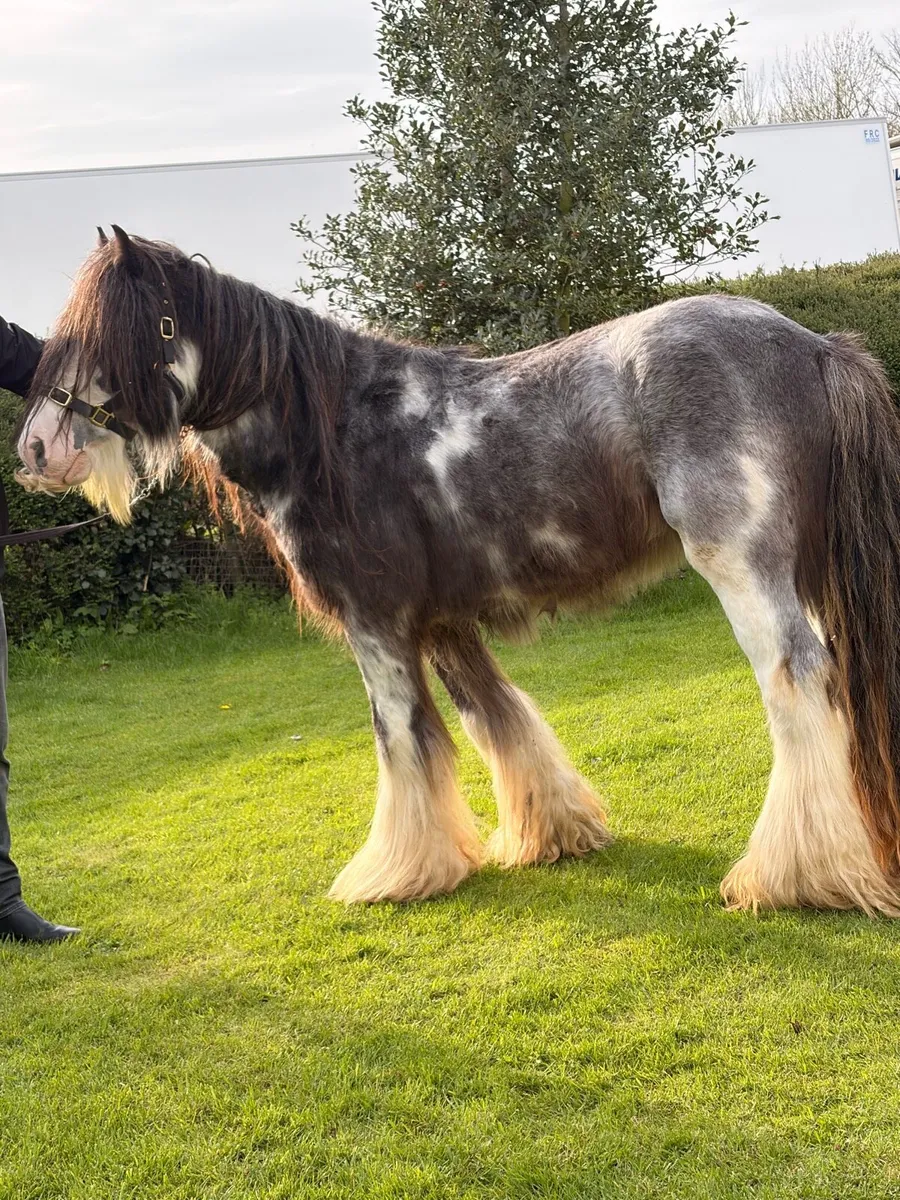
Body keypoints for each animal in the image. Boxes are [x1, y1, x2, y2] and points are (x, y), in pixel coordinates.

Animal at [17, 224, 900, 916]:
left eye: (121, 333)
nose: (35, 449)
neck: (333, 431)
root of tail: (813, 346)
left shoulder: (375, 626)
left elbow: (402, 739)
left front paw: (397, 872)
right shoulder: (441, 621)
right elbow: (495, 719)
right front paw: (554, 835)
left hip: (745, 570)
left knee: (797, 680)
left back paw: (792, 876)